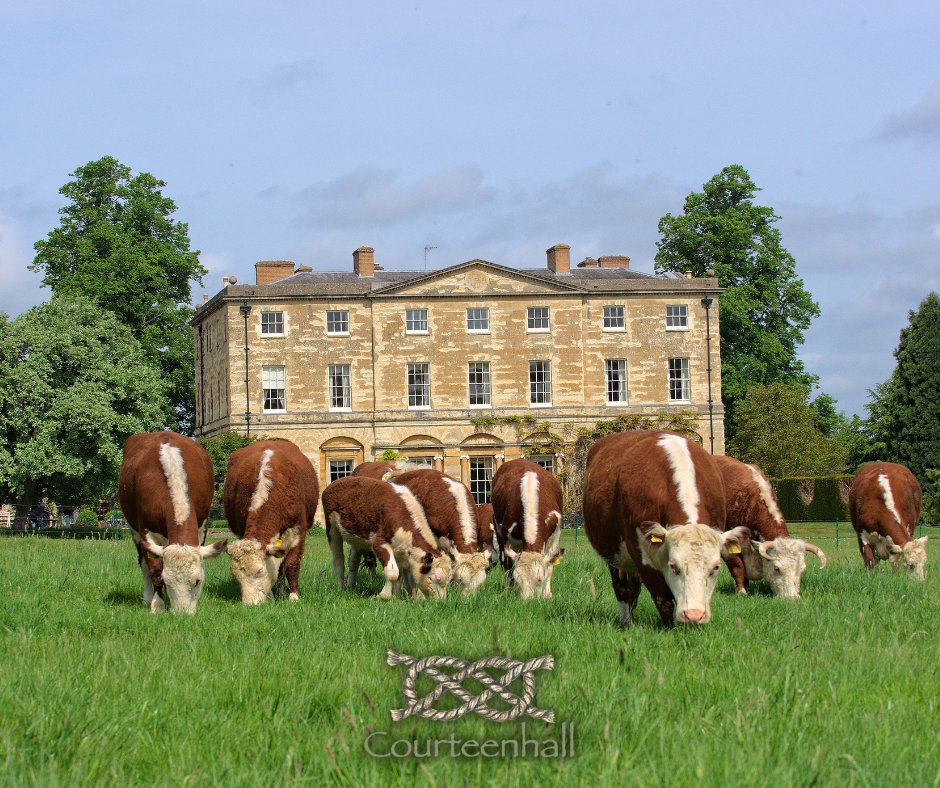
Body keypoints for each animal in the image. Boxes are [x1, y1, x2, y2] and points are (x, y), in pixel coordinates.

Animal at [118, 431, 226, 614]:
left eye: (197, 581)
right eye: (167, 582)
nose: (182, 614)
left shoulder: (202, 526)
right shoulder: (146, 531)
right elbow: (155, 571)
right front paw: (158, 605)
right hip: (134, 531)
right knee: (143, 563)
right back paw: (148, 598)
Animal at [223, 440, 319, 605]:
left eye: (260, 570)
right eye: (236, 576)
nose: (250, 604)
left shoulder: (298, 530)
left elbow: (291, 565)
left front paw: (294, 596)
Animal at [322, 475, 453, 599]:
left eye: (448, 581)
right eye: (433, 578)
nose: (440, 602)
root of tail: (336, 482)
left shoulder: (400, 551)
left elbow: (399, 574)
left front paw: (396, 598)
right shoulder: (379, 543)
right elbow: (393, 573)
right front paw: (383, 596)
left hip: (356, 539)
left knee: (353, 562)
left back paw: (350, 587)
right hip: (332, 529)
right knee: (338, 560)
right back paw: (341, 588)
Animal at [491, 458, 564, 600]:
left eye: (540, 579)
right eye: (517, 579)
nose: (527, 601)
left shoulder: (555, 535)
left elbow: (550, 565)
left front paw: (547, 594)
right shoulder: (507, 536)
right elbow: (508, 565)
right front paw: (510, 591)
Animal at [582, 430, 749, 626]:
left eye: (716, 567)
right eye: (673, 565)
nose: (694, 615)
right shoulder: (641, 553)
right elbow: (662, 597)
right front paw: (670, 626)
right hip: (614, 555)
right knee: (622, 587)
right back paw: (626, 622)